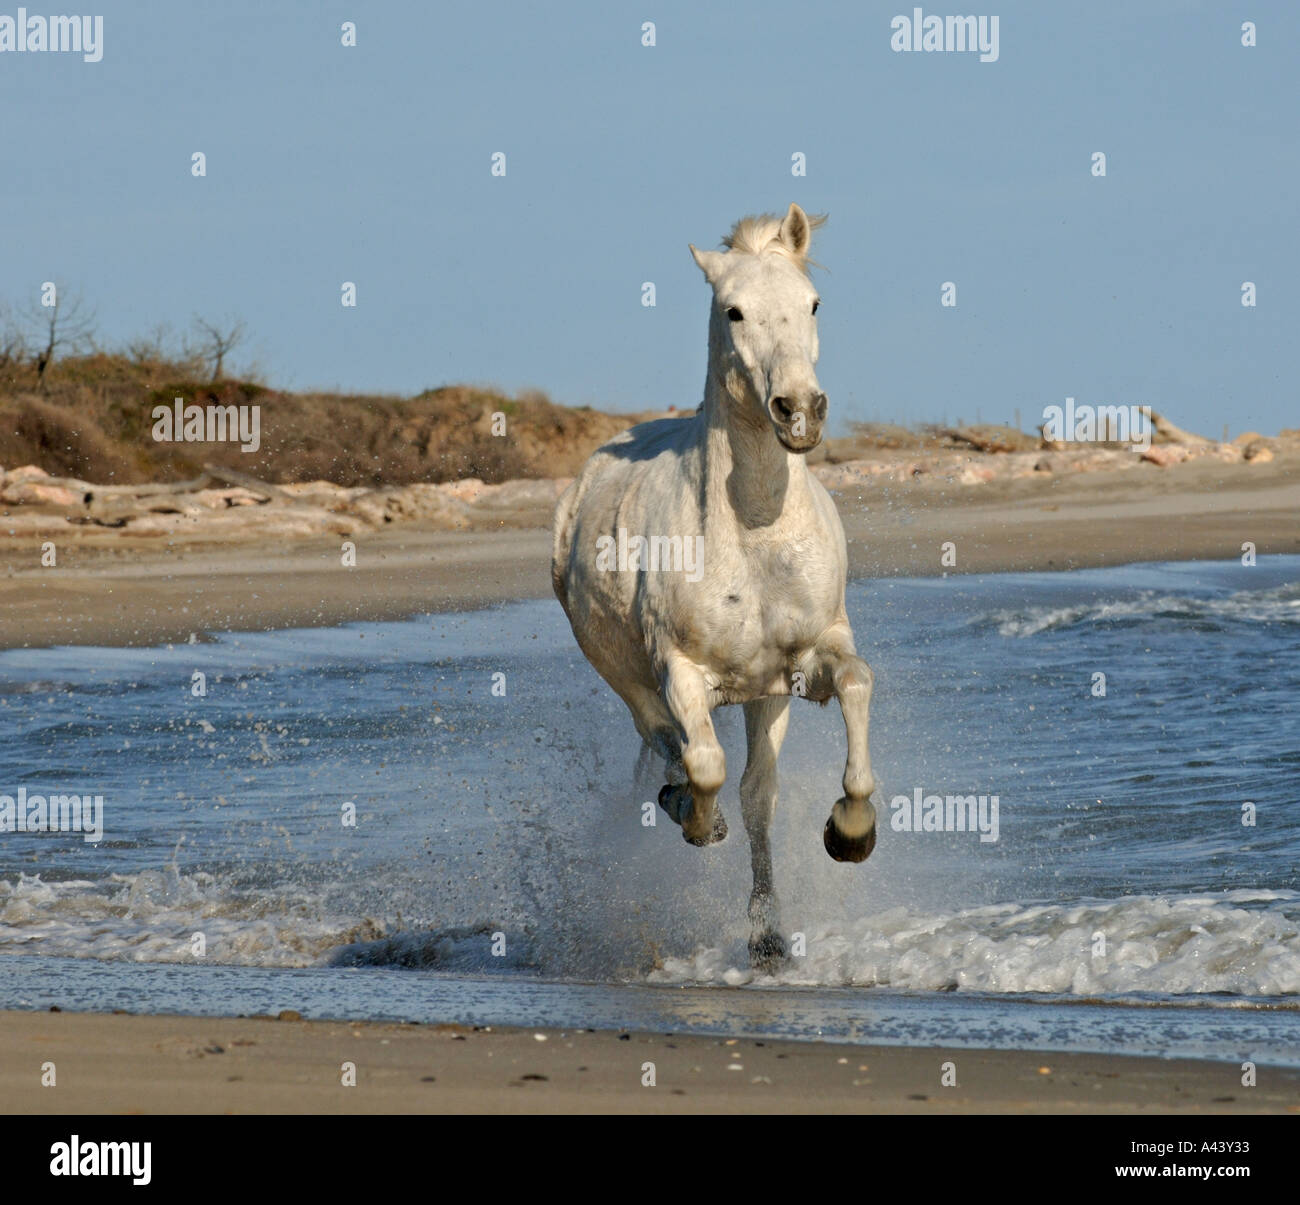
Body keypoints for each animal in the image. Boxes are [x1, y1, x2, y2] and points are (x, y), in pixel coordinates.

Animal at [551, 203, 879, 969]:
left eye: (812, 302)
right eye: (733, 311)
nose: (799, 410)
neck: (755, 530)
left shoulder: (811, 655)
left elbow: (856, 682)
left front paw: (851, 830)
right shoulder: (679, 671)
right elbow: (703, 764)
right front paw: (699, 822)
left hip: (763, 696)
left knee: (759, 795)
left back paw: (767, 937)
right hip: (630, 680)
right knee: (669, 743)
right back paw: (681, 809)